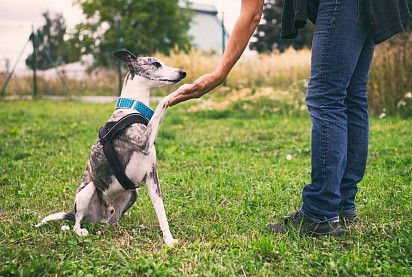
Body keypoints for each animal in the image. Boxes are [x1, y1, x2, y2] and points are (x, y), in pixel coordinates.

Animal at [36, 49, 187, 246]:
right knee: (76, 222)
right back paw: (79, 230)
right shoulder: (144, 141)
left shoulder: (151, 175)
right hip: (88, 190)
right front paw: (181, 90)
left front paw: (168, 239)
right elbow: (163, 101)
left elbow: (160, 210)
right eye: (156, 64)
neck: (132, 107)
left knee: (112, 222)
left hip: (132, 194)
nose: (182, 73)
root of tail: (100, 217)